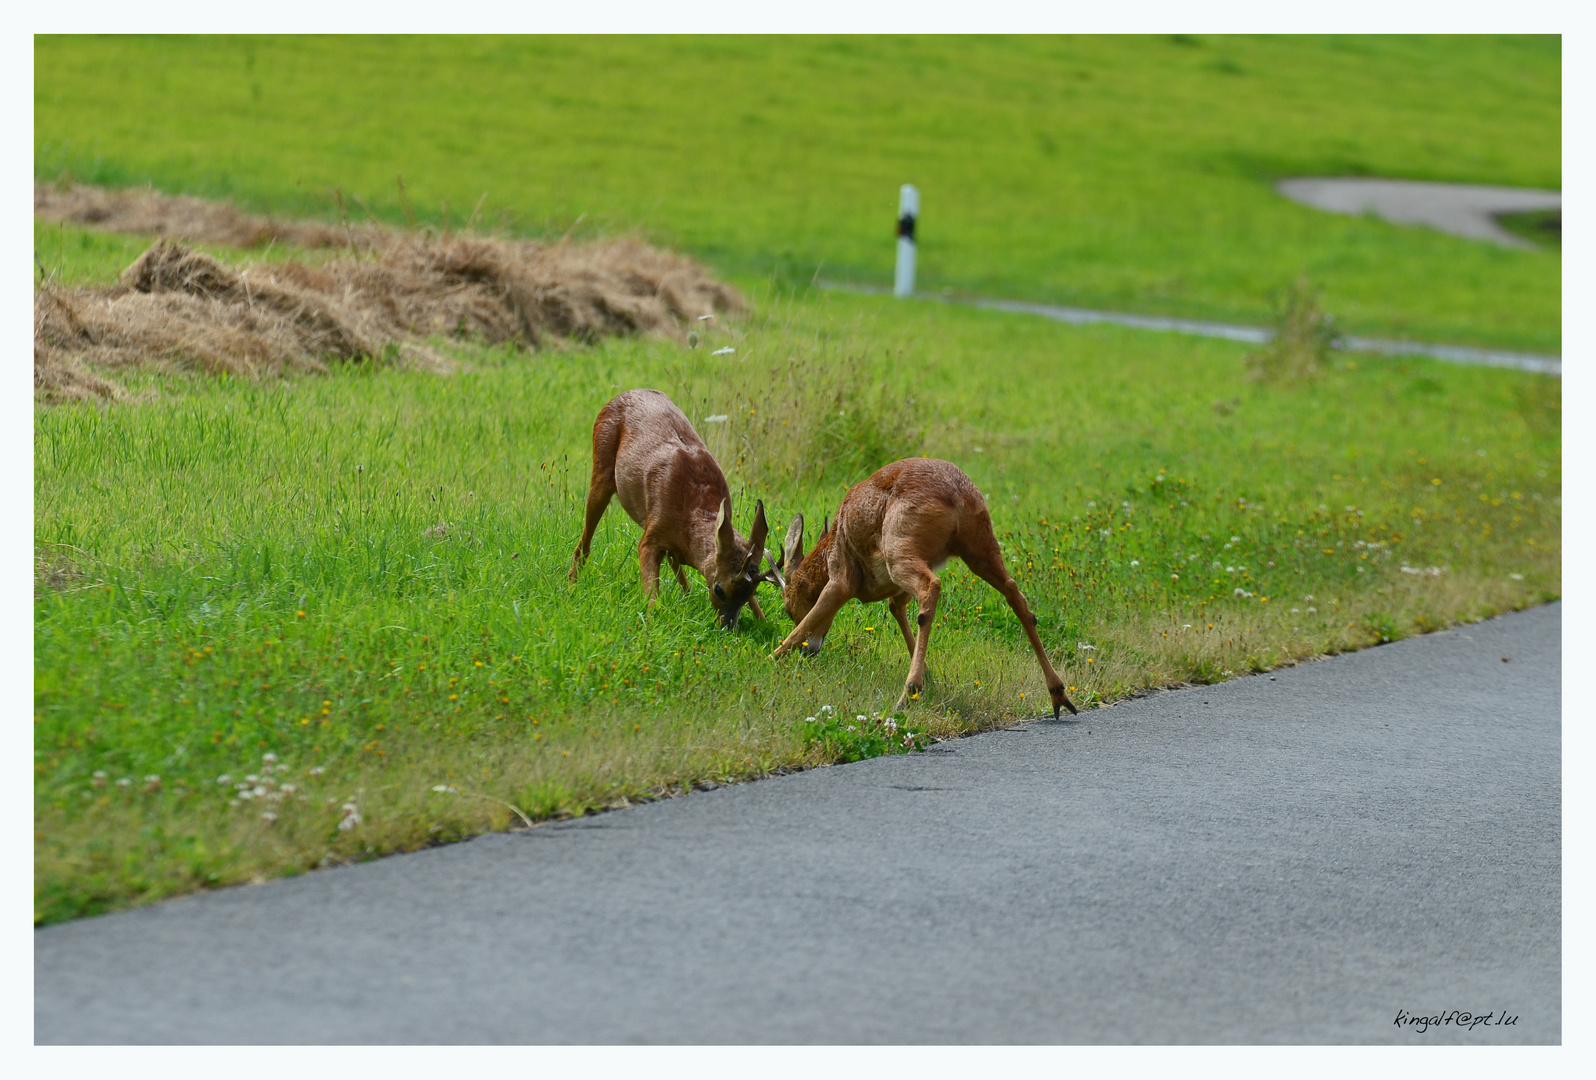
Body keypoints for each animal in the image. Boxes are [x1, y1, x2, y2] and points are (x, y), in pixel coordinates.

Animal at [568, 389, 778, 628]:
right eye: (719, 590)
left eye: (752, 592)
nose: (727, 627)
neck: (691, 515)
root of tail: (624, 393)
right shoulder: (650, 539)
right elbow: (652, 590)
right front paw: (650, 621)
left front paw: (765, 622)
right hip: (602, 469)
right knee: (585, 543)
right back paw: (572, 586)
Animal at [769, 456, 1078, 714]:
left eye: (787, 608)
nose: (810, 651)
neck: (831, 543)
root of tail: (957, 496)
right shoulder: (896, 591)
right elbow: (896, 608)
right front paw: (929, 673)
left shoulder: (841, 580)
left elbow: (811, 618)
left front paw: (772, 657)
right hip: (980, 548)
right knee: (1015, 593)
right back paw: (1059, 694)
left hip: (900, 551)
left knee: (932, 587)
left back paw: (907, 694)